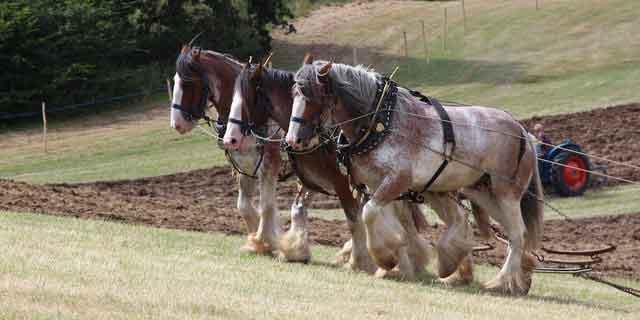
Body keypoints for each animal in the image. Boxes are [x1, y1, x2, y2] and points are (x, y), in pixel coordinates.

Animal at [222, 60, 432, 278]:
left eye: (248, 99)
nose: (229, 139)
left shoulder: (341, 182)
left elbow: (354, 219)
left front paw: (359, 261)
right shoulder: (309, 178)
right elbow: (297, 210)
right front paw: (295, 249)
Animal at [288, 55, 544, 296]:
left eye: (313, 97)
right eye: (294, 93)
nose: (293, 140)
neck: (380, 120)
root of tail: (522, 130)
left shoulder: (398, 180)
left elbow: (369, 213)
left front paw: (384, 257)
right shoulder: (376, 185)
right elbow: (382, 219)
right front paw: (395, 255)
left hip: (506, 193)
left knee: (518, 234)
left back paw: (501, 282)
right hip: (483, 193)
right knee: (504, 232)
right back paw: (514, 277)